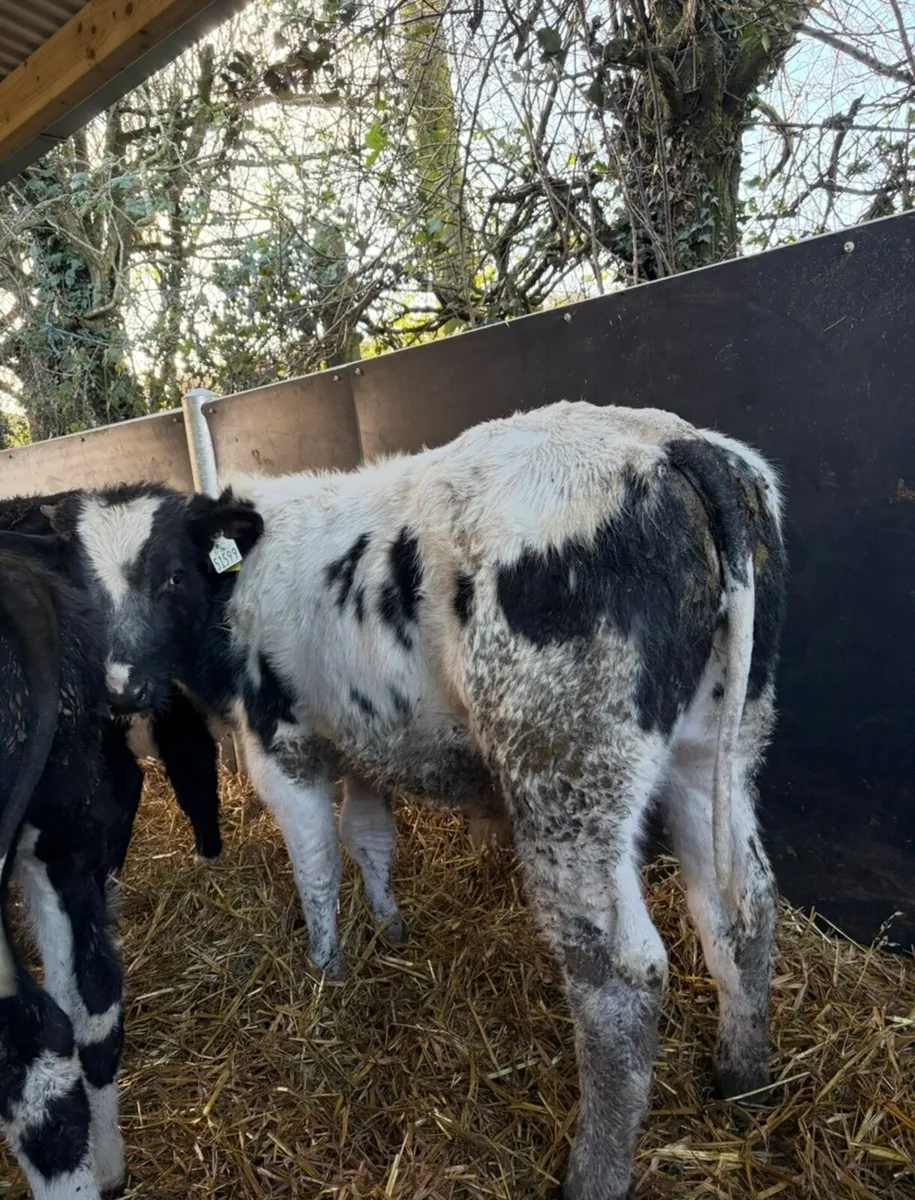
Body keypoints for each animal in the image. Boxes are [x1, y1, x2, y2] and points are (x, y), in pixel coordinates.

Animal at [37, 401, 787, 1200]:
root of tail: (668, 442)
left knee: (620, 972)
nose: (121, 687)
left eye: (174, 575)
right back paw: (742, 1080)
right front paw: (390, 928)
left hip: (566, 776)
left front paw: (326, 970)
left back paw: (593, 1174)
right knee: (740, 908)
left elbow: (316, 863)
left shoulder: (283, 747)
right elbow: (367, 837)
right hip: (717, 746)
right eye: (82, 592)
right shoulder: (365, 738)